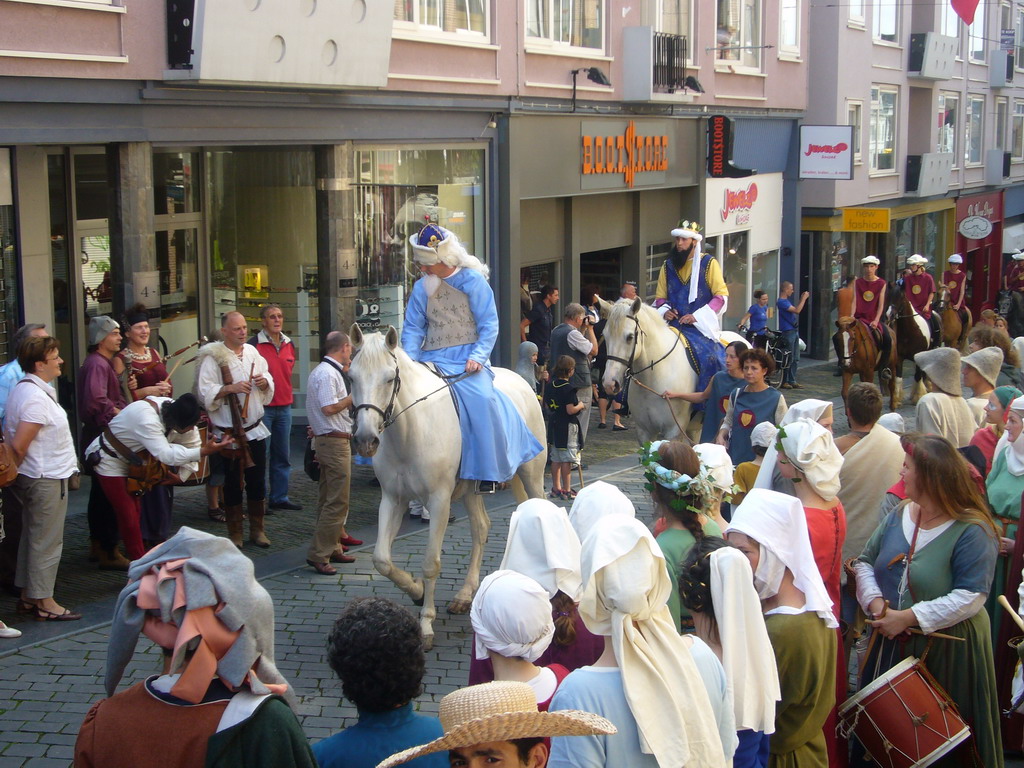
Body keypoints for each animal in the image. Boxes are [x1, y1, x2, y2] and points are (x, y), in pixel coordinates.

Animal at [348, 327, 548, 647]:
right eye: (351, 377)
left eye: (389, 378)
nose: (366, 440)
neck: (411, 429)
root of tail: (523, 382)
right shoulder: (392, 499)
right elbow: (381, 560)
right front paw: (416, 591)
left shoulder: (439, 500)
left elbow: (431, 562)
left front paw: (426, 624)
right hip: (470, 489)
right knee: (481, 527)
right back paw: (465, 595)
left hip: (531, 475)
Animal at [598, 299, 749, 448]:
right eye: (605, 336)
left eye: (629, 337)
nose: (609, 383)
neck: (653, 378)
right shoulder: (644, 432)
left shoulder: (673, 431)